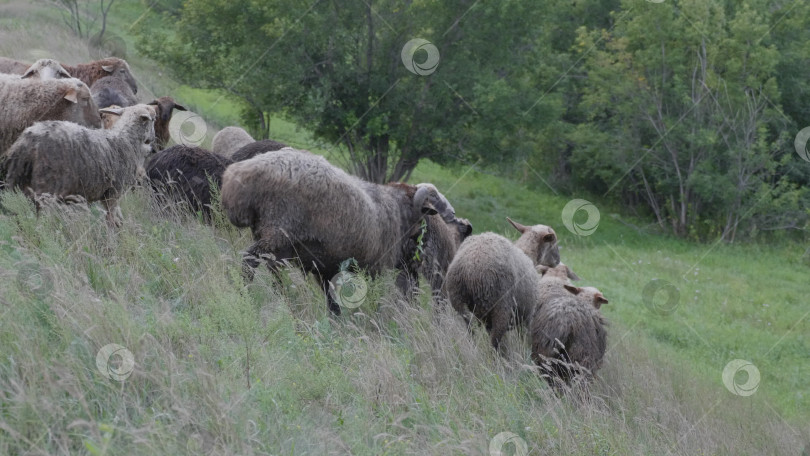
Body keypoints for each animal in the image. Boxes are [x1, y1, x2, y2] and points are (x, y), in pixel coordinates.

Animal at [2, 103, 156, 224]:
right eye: (153, 119)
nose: (153, 138)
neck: (127, 140)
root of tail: (29, 139)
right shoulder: (113, 192)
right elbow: (112, 220)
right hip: (46, 186)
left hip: (18, 180)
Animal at [219, 148, 468, 316]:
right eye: (429, 211)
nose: (454, 215)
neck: (396, 211)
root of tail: (242, 174)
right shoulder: (374, 267)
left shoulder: (327, 267)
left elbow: (332, 302)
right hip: (277, 230)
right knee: (249, 259)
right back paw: (242, 293)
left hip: (276, 241)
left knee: (274, 271)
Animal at [438, 219, 560, 350]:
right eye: (553, 242)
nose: (558, 260)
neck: (528, 254)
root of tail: (469, 270)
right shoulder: (527, 316)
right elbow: (524, 340)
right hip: (501, 307)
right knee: (495, 343)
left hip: (460, 303)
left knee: (472, 331)